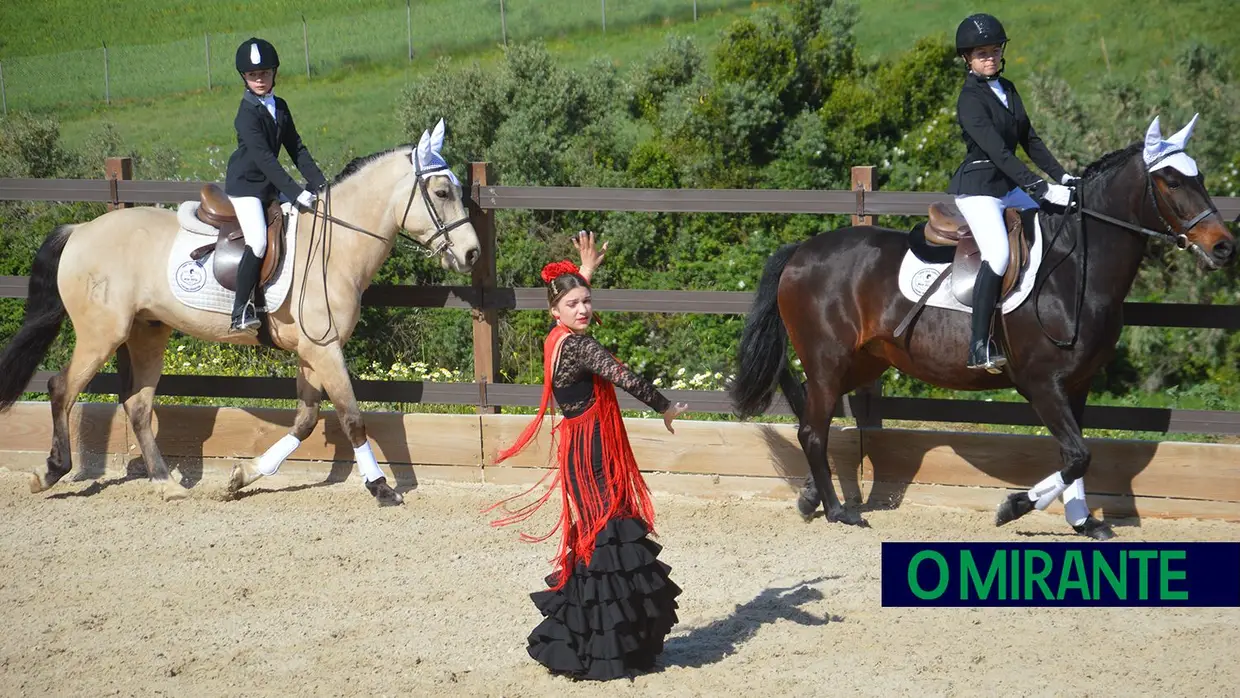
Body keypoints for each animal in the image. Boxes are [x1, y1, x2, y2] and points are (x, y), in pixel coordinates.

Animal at [0, 119, 481, 503]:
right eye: (442, 192)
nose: (472, 254)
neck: (335, 246)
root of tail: (80, 230)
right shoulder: (325, 349)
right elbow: (352, 419)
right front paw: (380, 487)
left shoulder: (311, 351)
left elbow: (306, 421)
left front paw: (243, 476)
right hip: (103, 333)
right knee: (63, 388)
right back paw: (50, 472)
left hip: (148, 332)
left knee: (136, 405)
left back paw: (165, 483)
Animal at [729, 115, 1235, 540]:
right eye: (1171, 181)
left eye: (1201, 178)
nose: (1224, 247)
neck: (1075, 270)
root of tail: (800, 252)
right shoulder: (1041, 383)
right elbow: (1078, 455)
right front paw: (1013, 506)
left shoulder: (1077, 384)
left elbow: (1076, 456)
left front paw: (1083, 521)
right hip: (829, 360)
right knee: (812, 430)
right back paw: (838, 511)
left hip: (863, 362)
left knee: (810, 413)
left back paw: (811, 497)